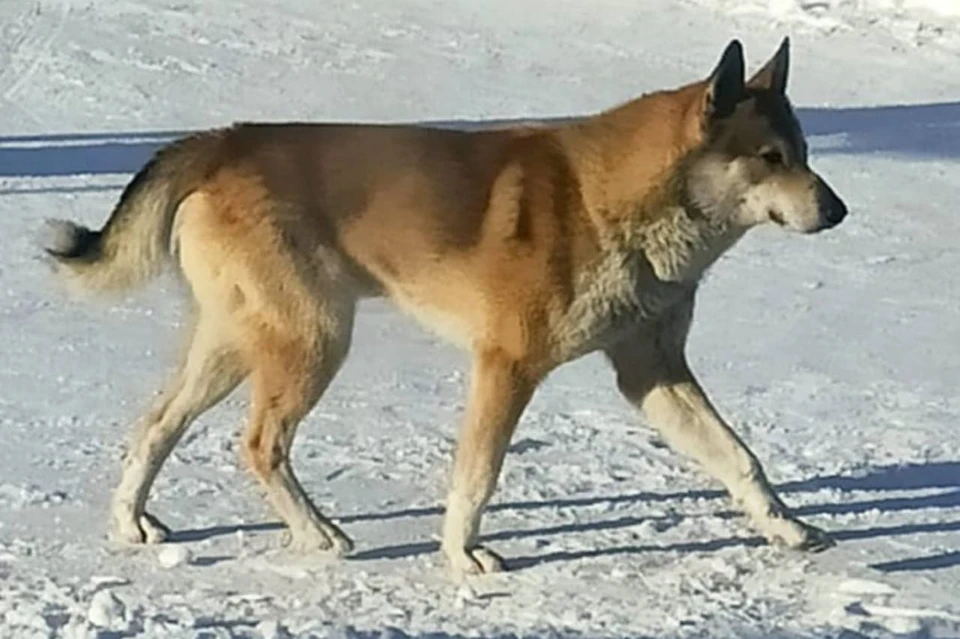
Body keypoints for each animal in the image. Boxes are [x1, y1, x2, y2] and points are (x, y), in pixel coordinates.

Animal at [43, 38, 848, 580]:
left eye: (805, 152)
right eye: (770, 158)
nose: (838, 211)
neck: (617, 204)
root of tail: (222, 142)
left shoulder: (652, 371)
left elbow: (740, 457)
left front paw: (788, 529)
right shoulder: (507, 366)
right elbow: (478, 474)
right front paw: (464, 556)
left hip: (238, 340)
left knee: (155, 424)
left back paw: (132, 522)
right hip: (312, 338)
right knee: (259, 443)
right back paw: (319, 535)